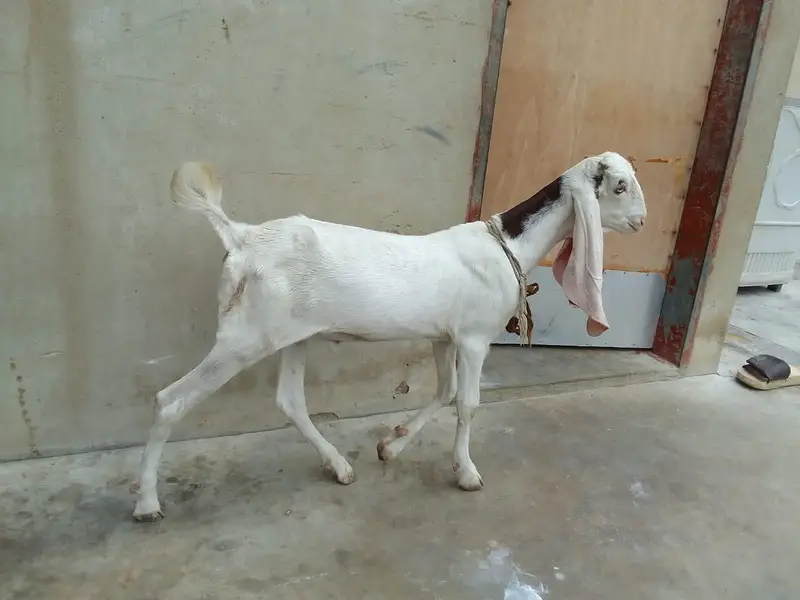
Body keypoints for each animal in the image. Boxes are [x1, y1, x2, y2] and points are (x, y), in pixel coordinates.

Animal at [131, 152, 646, 522]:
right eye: (619, 186)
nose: (641, 223)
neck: (509, 246)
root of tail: (240, 237)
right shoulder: (474, 338)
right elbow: (467, 402)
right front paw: (466, 473)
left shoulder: (444, 336)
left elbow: (444, 391)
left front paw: (390, 445)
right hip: (246, 336)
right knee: (170, 400)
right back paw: (147, 503)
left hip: (293, 335)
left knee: (289, 401)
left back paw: (339, 465)